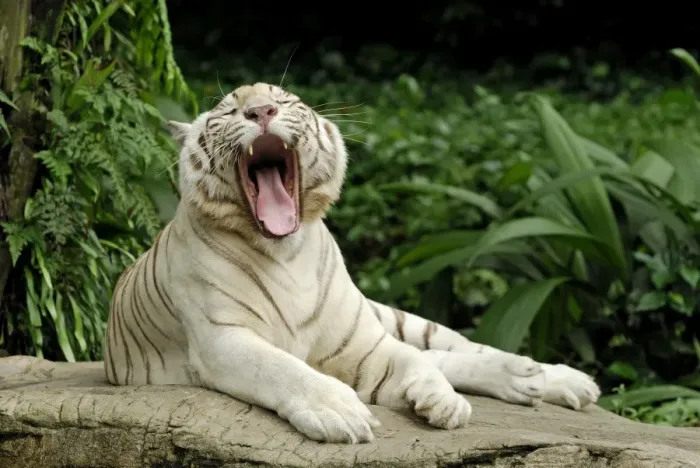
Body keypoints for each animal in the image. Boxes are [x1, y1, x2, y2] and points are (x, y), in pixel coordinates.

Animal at [103, 82, 601, 444]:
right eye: (228, 111)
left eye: (284, 100)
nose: (261, 111)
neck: (286, 253)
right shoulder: (222, 339)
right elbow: (282, 368)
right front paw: (339, 410)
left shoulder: (363, 343)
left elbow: (414, 360)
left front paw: (442, 402)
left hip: (393, 318)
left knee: (450, 347)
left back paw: (546, 377)